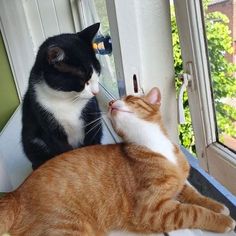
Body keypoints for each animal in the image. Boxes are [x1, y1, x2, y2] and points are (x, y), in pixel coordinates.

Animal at [0, 87, 236, 235]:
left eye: (131, 99)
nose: (112, 102)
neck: (153, 143)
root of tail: (15, 195)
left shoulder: (180, 181)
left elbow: (195, 195)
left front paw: (217, 206)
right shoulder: (152, 211)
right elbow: (192, 211)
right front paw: (223, 221)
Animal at [21, 23, 102, 169]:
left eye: (97, 73)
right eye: (84, 81)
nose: (96, 92)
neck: (66, 99)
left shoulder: (92, 113)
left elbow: (91, 136)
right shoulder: (45, 118)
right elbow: (61, 149)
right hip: (30, 142)